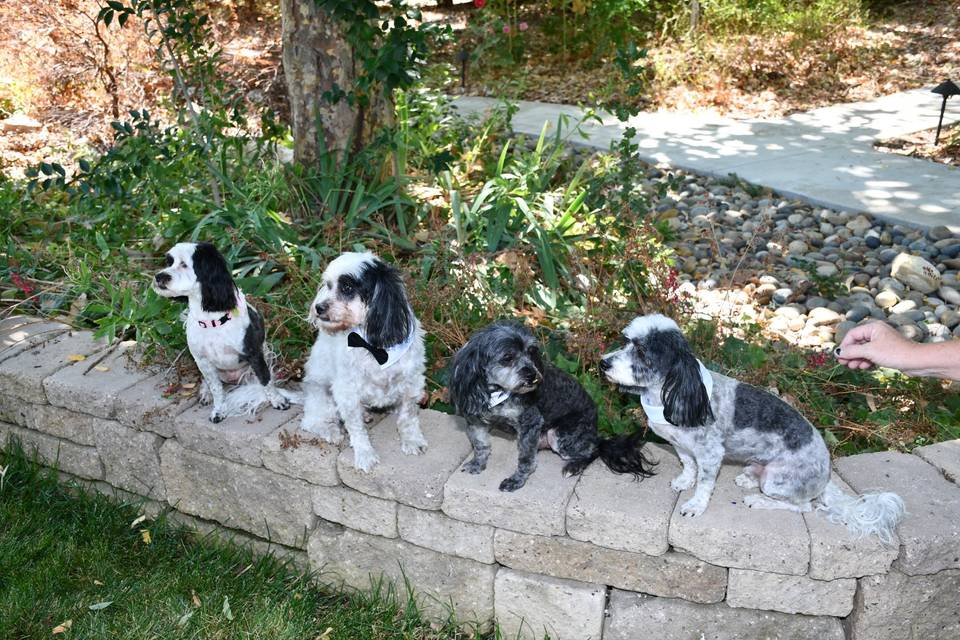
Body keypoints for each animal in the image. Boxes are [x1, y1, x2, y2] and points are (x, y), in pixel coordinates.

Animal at [153, 242, 296, 422]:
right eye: (169, 262)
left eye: (184, 264)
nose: (158, 276)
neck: (212, 321)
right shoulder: (203, 361)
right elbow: (216, 388)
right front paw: (218, 409)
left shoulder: (254, 354)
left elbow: (266, 380)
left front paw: (277, 400)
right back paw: (205, 392)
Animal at [302, 252, 426, 472]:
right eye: (328, 285)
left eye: (347, 287)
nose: (318, 307)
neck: (371, 344)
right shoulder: (347, 392)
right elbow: (356, 428)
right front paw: (364, 454)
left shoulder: (411, 382)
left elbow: (408, 417)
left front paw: (412, 440)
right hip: (321, 395)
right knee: (310, 421)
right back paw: (331, 430)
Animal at [448, 322, 652, 492]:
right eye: (507, 357)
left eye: (531, 352)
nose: (533, 376)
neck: (498, 392)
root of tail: (595, 432)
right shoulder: (475, 420)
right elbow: (481, 445)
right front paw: (477, 464)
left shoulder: (530, 422)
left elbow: (525, 459)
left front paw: (517, 480)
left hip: (560, 435)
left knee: (592, 450)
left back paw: (574, 466)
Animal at [604, 312, 904, 544]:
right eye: (626, 341)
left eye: (642, 351)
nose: (602, 362)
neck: (668, 394)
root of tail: (827, 473)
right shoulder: (681, 446)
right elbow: (688, 465)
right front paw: (684, 481)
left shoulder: (710, 454)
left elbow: (704, 483)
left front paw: (695, 505)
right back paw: (748, 476)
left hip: (778, 480)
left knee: (802, 505)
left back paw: (759, 500)